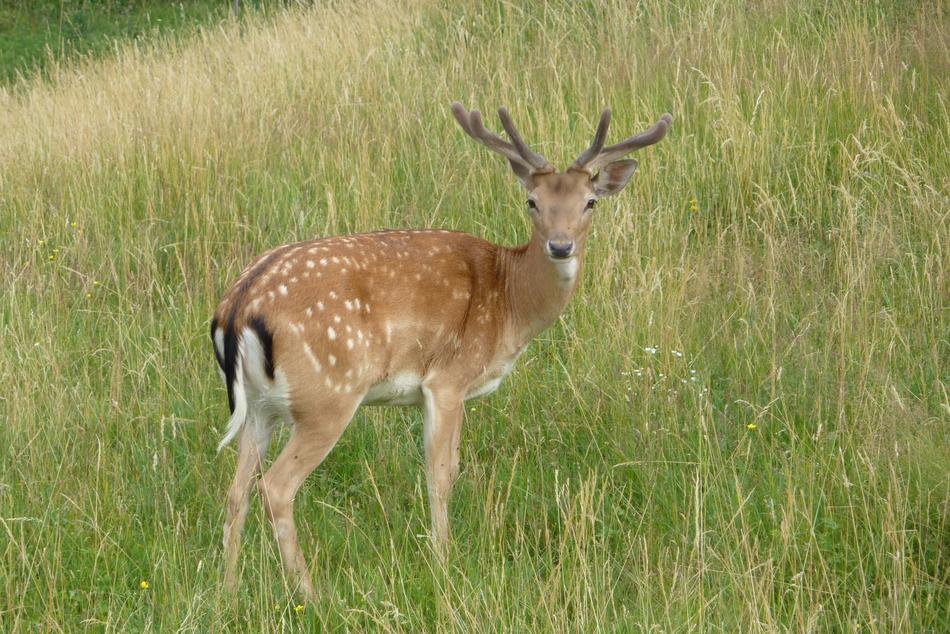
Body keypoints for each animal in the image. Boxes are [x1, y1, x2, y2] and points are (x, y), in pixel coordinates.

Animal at [211, 101, 672, 599]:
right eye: (532, 201)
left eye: (590, 202)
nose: (561, 245)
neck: (510, 302)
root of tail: (237, 308)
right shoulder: (448, 379)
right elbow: (443, 473)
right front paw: (443, 561)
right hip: (326, 398)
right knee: (275, 487)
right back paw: (310, 594)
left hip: (260, 409)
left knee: (236, 490)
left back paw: (229, 589)